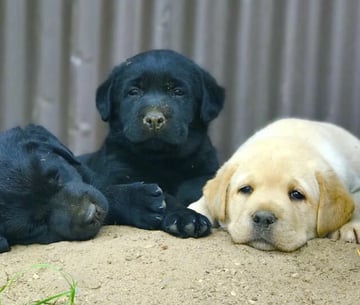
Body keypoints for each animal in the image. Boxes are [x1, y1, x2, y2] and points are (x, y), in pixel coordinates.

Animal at [81, 48, 225, 236]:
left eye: (178, 92)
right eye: (134, 92)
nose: (154, 119)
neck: (161, 160)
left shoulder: (206, 170)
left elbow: (194, 187)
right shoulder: (117, 174)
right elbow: (164, 198)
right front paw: (185, 216)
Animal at [188, 117, 360, 251]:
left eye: (297, 194)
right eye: (246, 189)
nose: (263, 218)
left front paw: (352, 226)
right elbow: (205, 201)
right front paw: (193, 216)